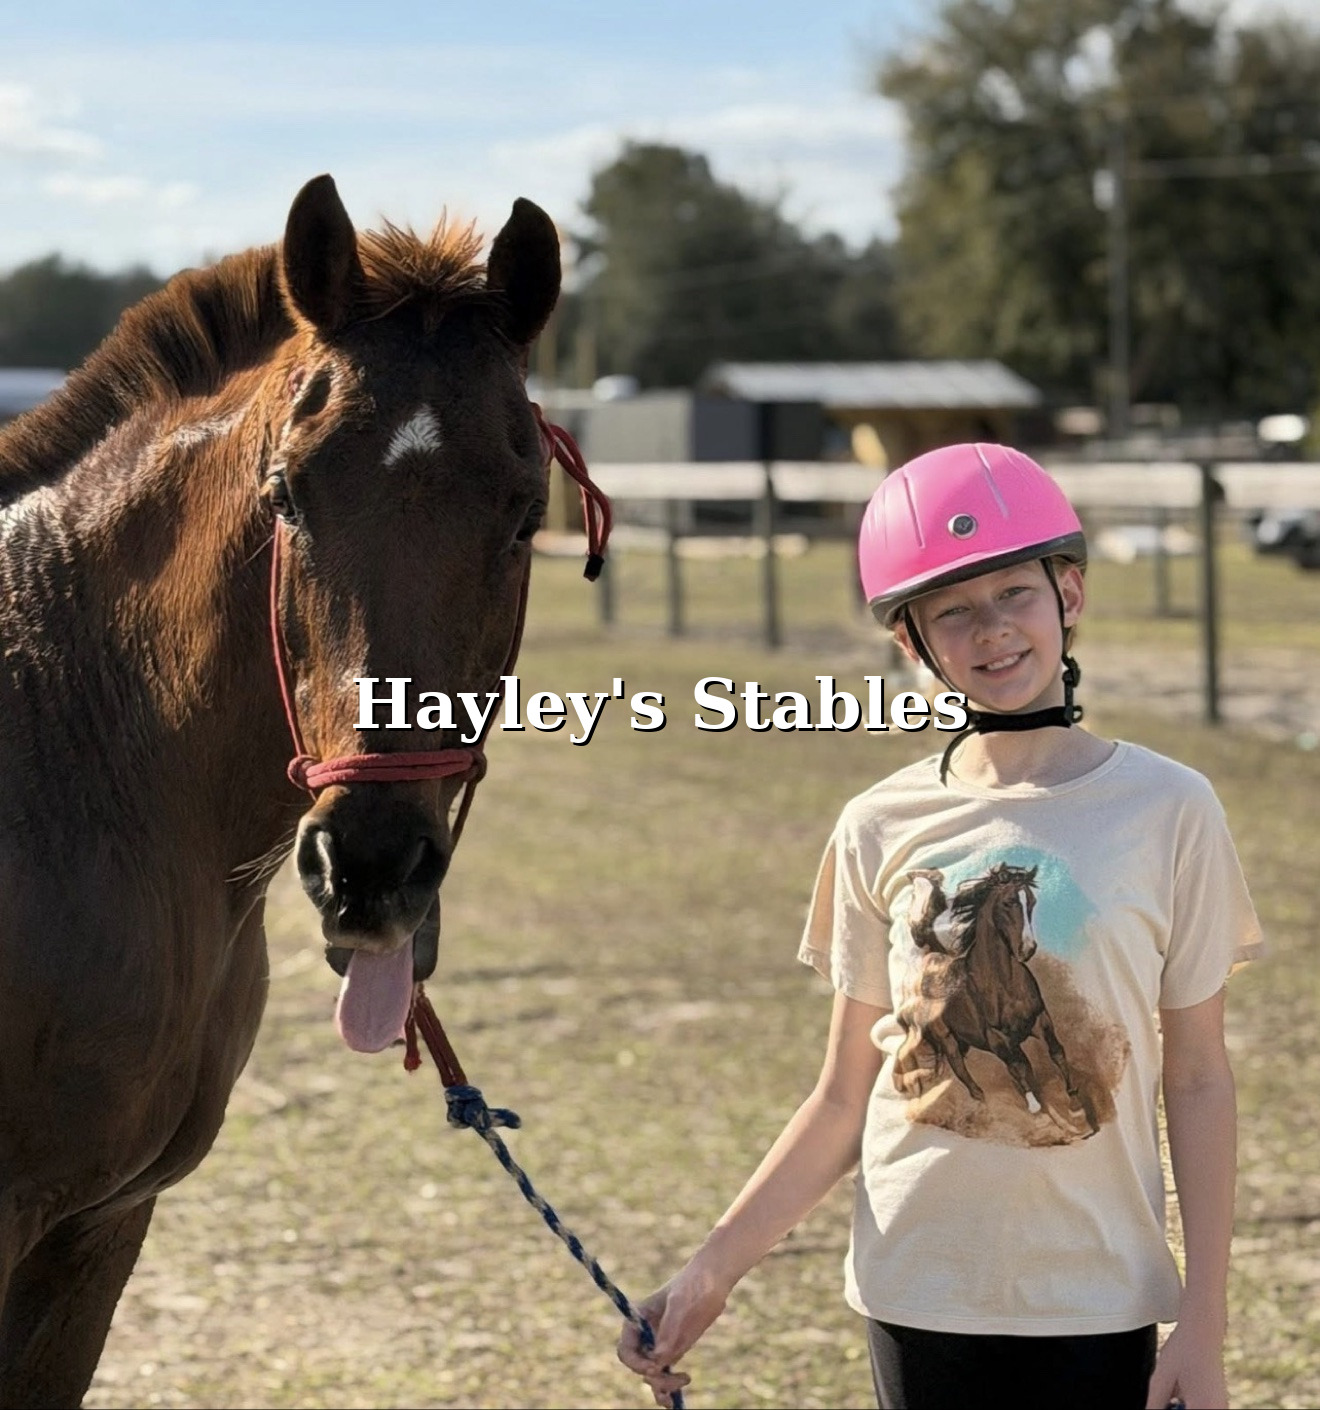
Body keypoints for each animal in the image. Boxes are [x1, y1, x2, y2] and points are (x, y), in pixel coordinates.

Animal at [893, 864, 1098, 1135]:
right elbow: (1019, 1068)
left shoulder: (1039, 1019)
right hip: (945, 1037)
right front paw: (1040, 1114)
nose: (1027, 949)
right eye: (1009, 902)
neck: (1002, 983)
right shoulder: (998, 1037)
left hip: (964, 1040)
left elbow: (1056, 1053)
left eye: (1031, 902)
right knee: (958, 1067)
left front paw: (1075, 1108)